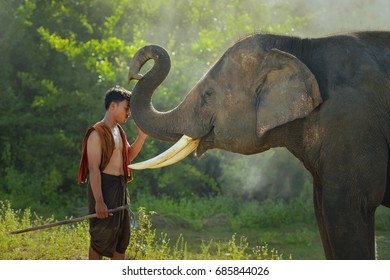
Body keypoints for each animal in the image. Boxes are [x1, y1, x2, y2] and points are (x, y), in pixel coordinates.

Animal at [128, 31, 390, 260]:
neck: (299, 47)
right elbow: (322, 213)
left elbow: (346, 209)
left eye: (208, 95)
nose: (134, 75)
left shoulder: (352, 124)